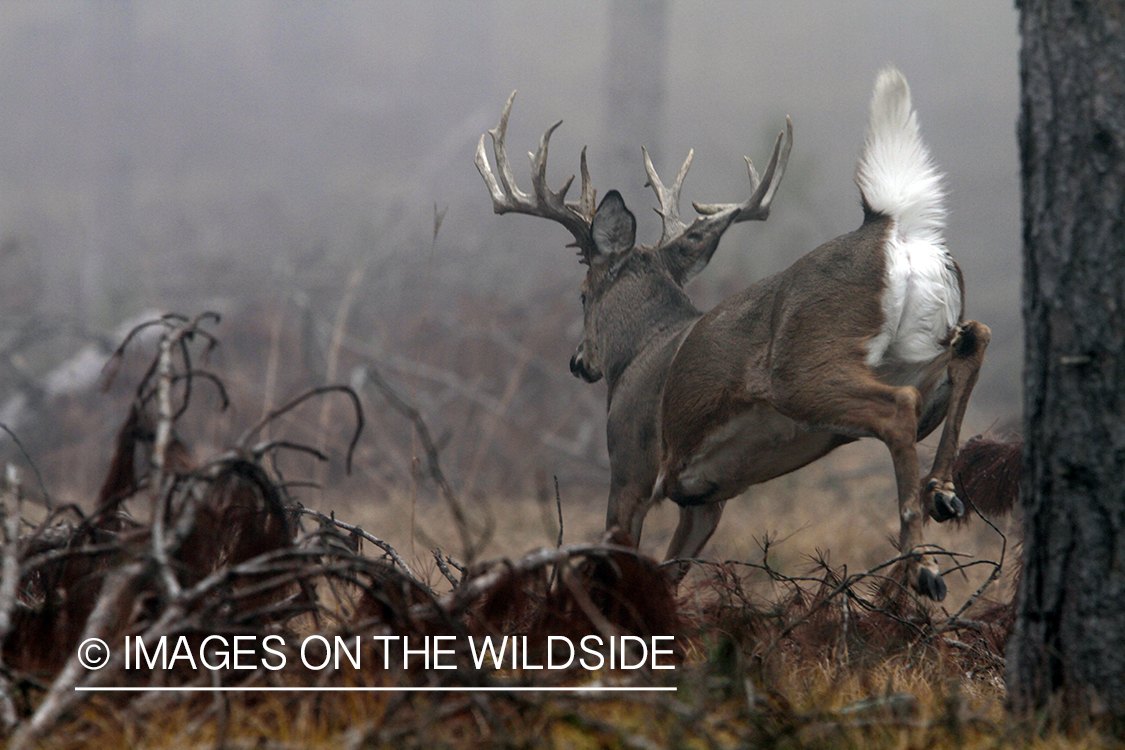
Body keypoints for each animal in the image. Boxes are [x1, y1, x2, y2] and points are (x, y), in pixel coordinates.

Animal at [479, 67, 990, 602]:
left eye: (582, 295)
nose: (578, 360)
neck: (638, 353)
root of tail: (887, 226)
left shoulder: (631, 465)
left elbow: (618, 566)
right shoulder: (707, 496)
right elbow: (668, 575)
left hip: (802, 370)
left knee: (899, 405)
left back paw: (925, 565)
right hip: (913, 352)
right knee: (971, 341)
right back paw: (943, 495)